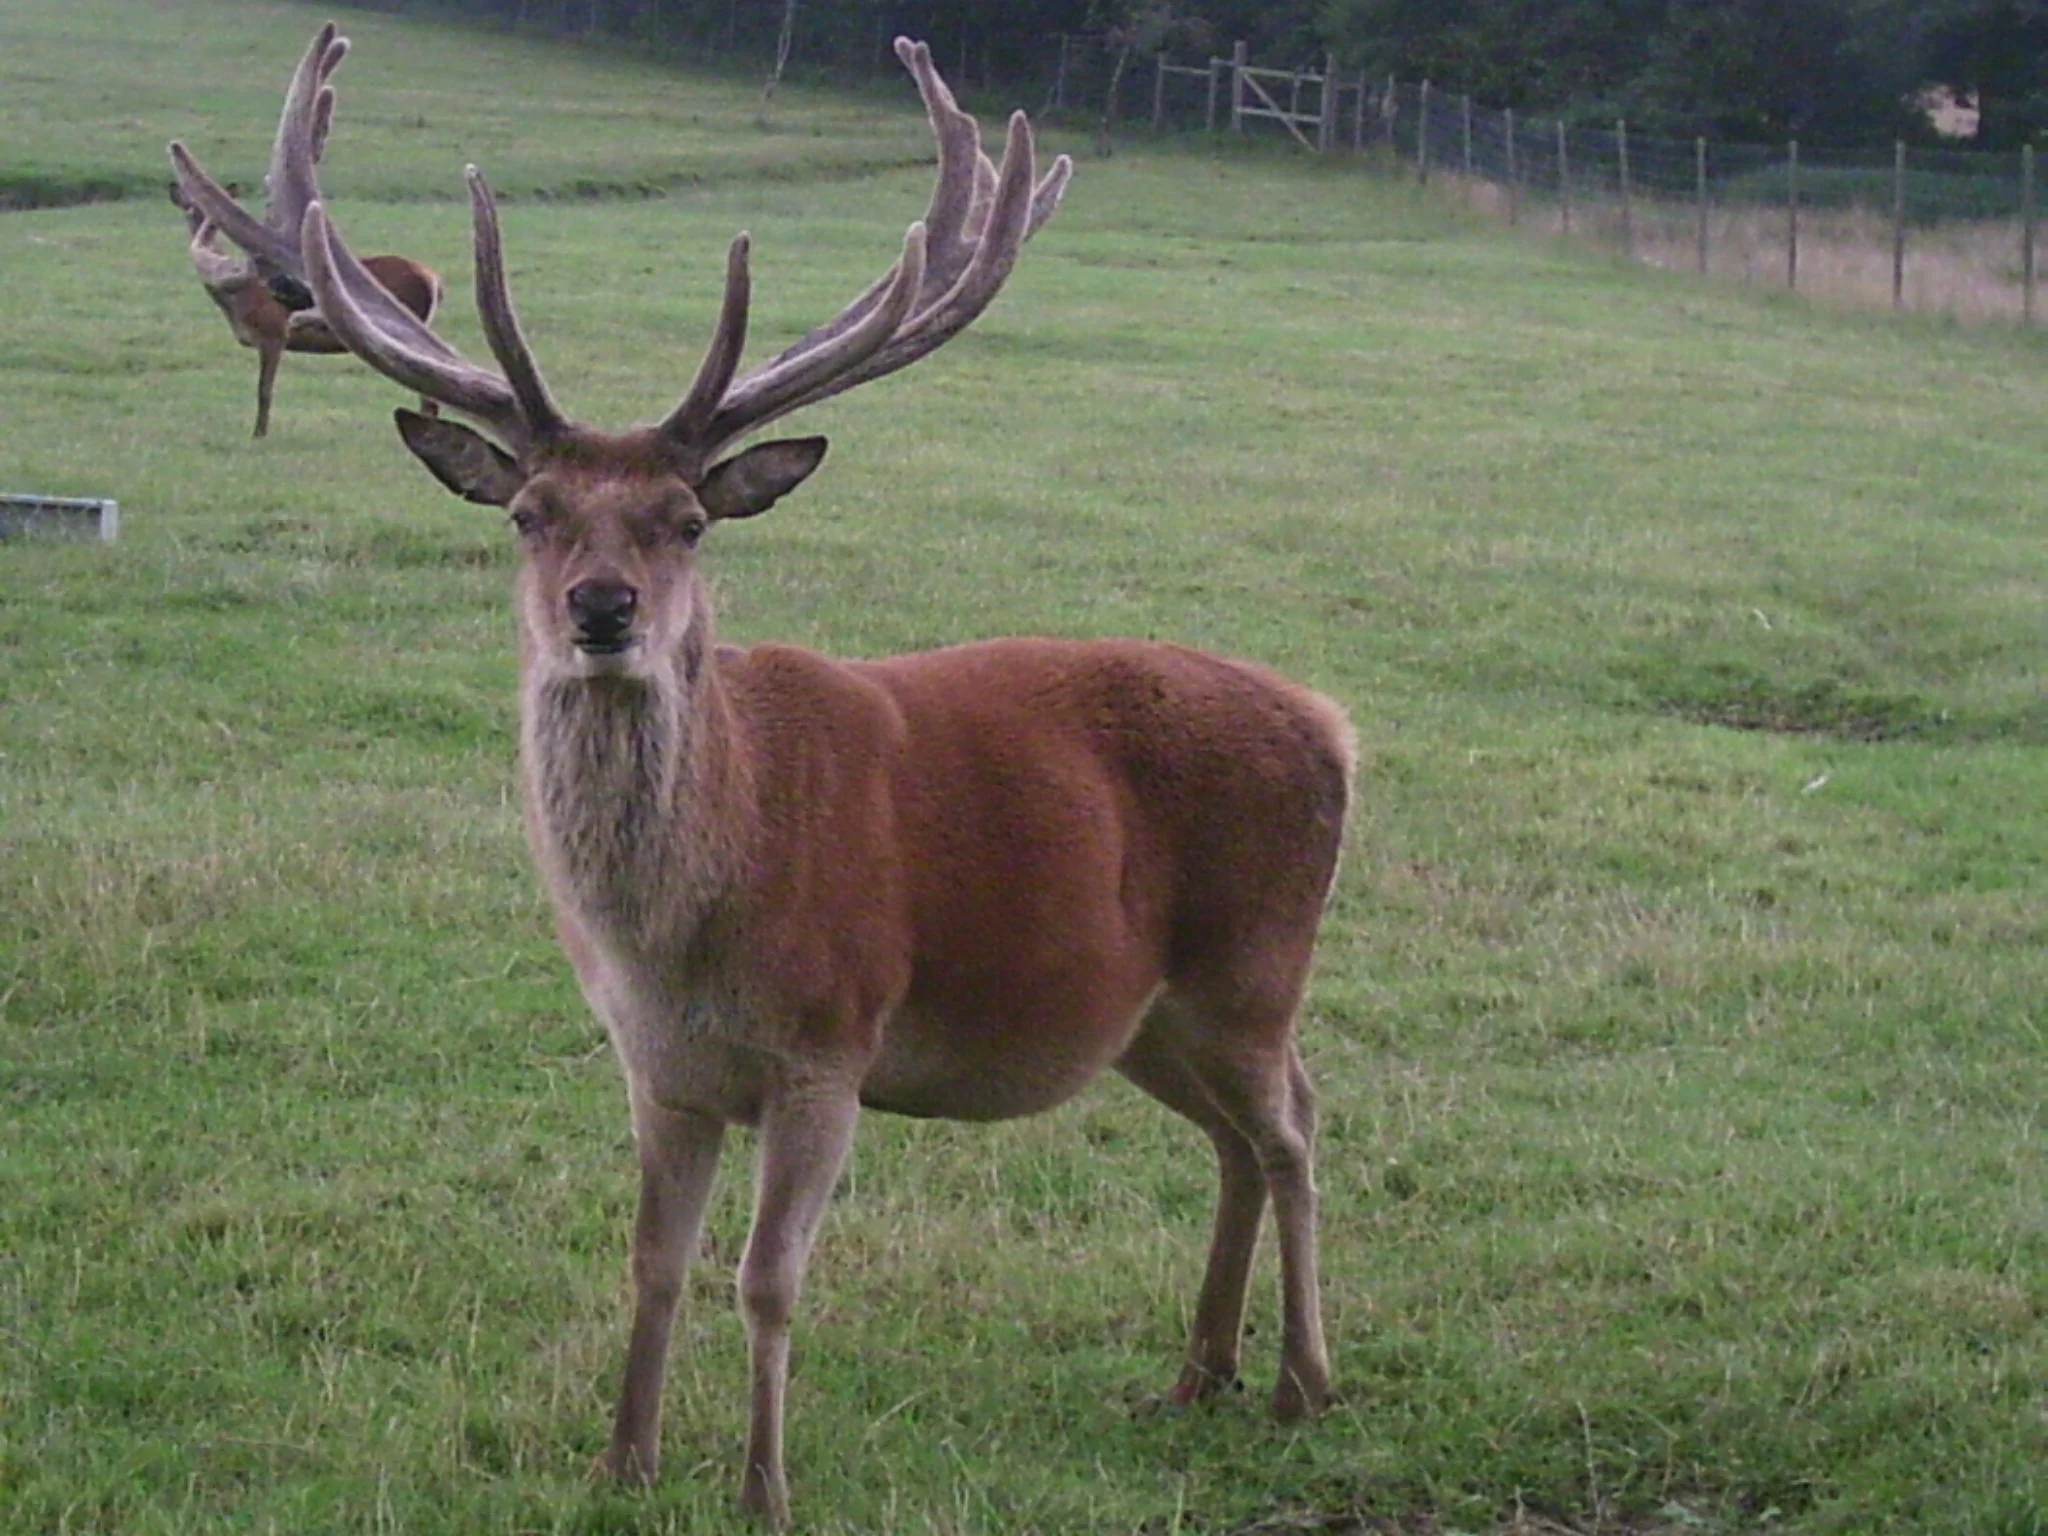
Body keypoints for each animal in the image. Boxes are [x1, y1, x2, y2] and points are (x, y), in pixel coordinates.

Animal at [168, 23, 442, 438]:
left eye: (206, 208)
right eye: (188, 207)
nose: (202, 225)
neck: (237, 302)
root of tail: (435, 279)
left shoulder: (274, 333)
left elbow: (264, 393)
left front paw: (259, 436)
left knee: (430, 399)